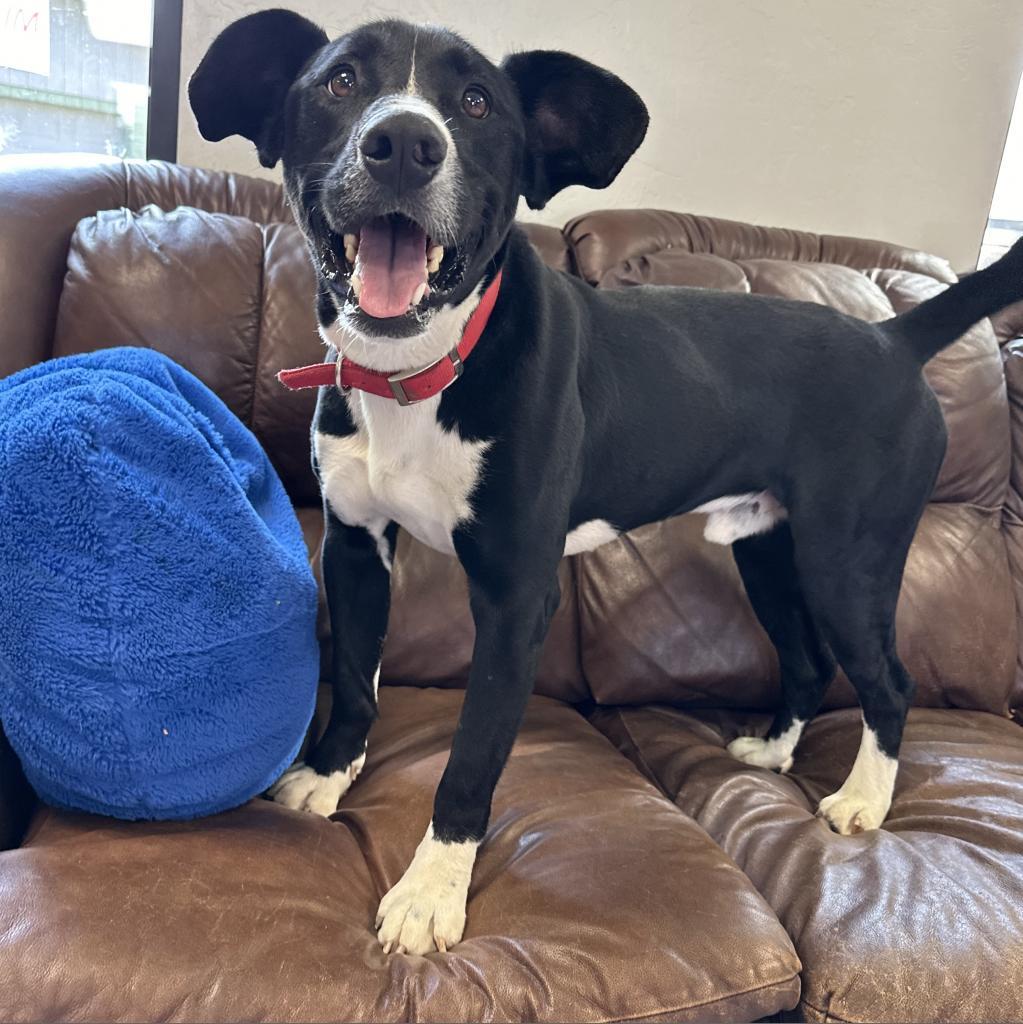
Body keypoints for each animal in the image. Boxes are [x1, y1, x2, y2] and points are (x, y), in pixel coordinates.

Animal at [190, 8, 1023, 954]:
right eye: (340, 81)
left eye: (476, 102)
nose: (402, 143)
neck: (421, 369)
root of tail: (891, 336)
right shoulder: (356, 551)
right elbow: (356, 684)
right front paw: (329, 776)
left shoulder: (515, 598)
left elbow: (470, 761)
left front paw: (432, 892)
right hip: (768, 547)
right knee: (809, 663)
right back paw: (774, 756)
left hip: (845, 560)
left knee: (888, 680)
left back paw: (861, 801)